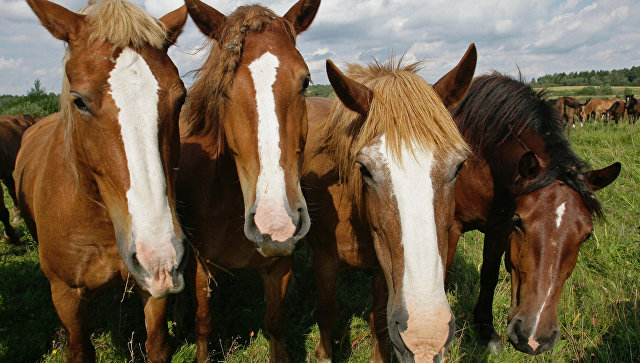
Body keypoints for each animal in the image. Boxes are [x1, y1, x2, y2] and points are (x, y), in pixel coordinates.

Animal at [15, 1, 189, 362]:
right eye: (79, 101)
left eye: (181, 99)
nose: (158, 256)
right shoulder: (65, 295)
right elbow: (79, 348)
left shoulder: (153, 290)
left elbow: (157, 344)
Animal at [176, 0, 318, 362]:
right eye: (223, 91)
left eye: (306, 81)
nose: (276, 223)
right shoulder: (201, 267)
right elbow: (203, 323)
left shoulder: (279, 267)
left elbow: (276, 324)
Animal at [304, 44, 476, 362]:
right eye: (365, 168)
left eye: (459, 166)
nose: (425, 338)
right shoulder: (325, 261)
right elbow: (327, 314)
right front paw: (323, 353)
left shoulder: (382, 270)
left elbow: (378, 321)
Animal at [444, 73, 620, 356]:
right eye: (520, 222)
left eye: (587, 235)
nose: (534, 338)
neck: (480, 157)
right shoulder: (453, 226)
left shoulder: (499, 228)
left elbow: (489, 275)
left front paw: (485, 330)